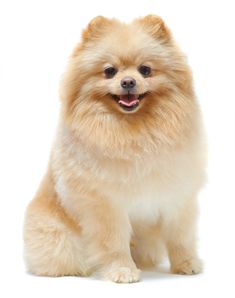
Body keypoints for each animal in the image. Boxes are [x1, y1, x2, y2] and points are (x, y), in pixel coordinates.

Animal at [23, 15, 206, 282]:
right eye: (110, 71)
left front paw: (186, 263)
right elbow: (114, 242)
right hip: (57, 237)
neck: (134, 132)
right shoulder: (106, 203)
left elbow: (179, 236)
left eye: (145, 69)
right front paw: (121, 270)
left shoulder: (176, 194)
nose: (128, 81)